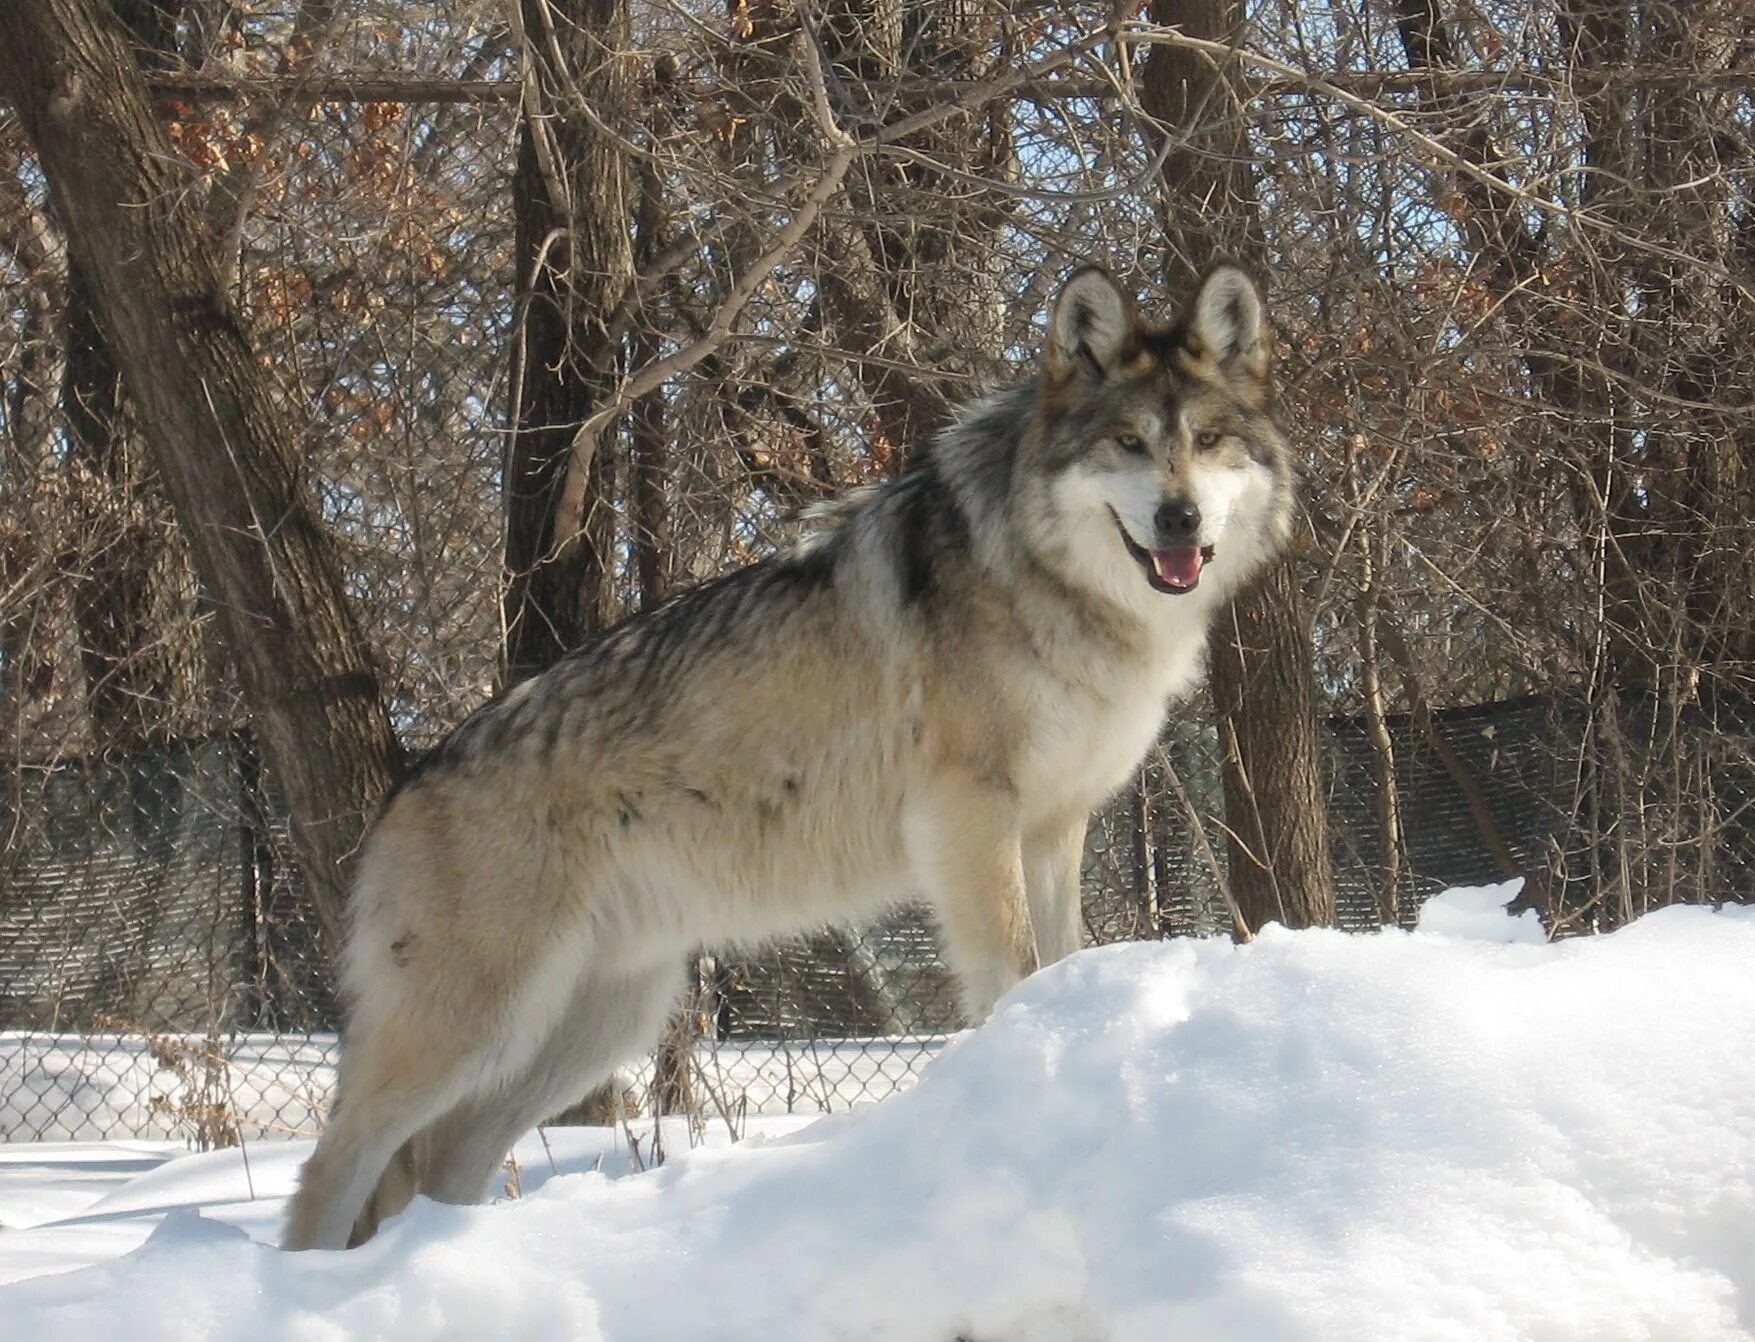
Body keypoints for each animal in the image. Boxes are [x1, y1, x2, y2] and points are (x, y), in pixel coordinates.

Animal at [280, 261, 1298, 1249]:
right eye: (1127, 442)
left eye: (1208, 440)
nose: (1178, 520)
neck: (1053, 587)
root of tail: (404, 786)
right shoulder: (972, 815)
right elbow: (1009, 969)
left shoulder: (1055, 825)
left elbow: (1058, 958)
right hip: (479, 1026)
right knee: (331, 1166)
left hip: (591, 1027)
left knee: (441, 1166)